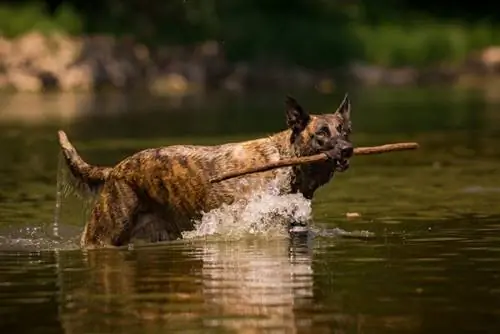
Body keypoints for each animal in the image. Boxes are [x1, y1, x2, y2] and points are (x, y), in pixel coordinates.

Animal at [58, 94, 354, 248]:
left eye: (345, 130)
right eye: (321, 133)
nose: (348, 149)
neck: (287, 161)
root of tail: (114, 170)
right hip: (104, 234)